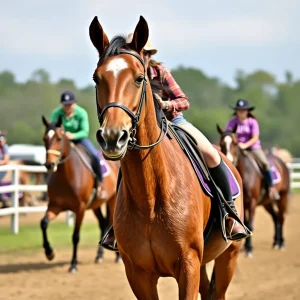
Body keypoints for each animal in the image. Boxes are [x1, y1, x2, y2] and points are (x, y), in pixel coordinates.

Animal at [40, 116, 120, 274]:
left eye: (59, 138)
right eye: (44, 138)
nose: (49, 164)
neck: (66, 175)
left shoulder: (80, 208)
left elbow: (75, 236)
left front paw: (73, 264)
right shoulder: (54, 206)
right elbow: (44, 223)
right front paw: (49, 252)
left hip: (112, 200)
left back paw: (118, 257)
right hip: (95, 205)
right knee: (103, 223)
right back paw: (99, 256)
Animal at [89, 16, 244, 300]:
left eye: (139, 78)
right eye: (97, 78)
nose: (113, 137)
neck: (150, 197)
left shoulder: (188, 265)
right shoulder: (138, 275)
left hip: (228, 256)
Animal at [217, 123, 290, 256]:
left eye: (235, 142)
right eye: (221, 143)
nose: (228, 161)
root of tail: (282, 163)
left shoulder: (251, 202)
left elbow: (250, 224)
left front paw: (249, 248)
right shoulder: (245, 203)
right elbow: (245, 222)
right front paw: (246, 246)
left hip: (282, 196)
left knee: (281, 218)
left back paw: (281, 243)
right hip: (267, 203)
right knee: (275, 217)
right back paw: (275, 242)